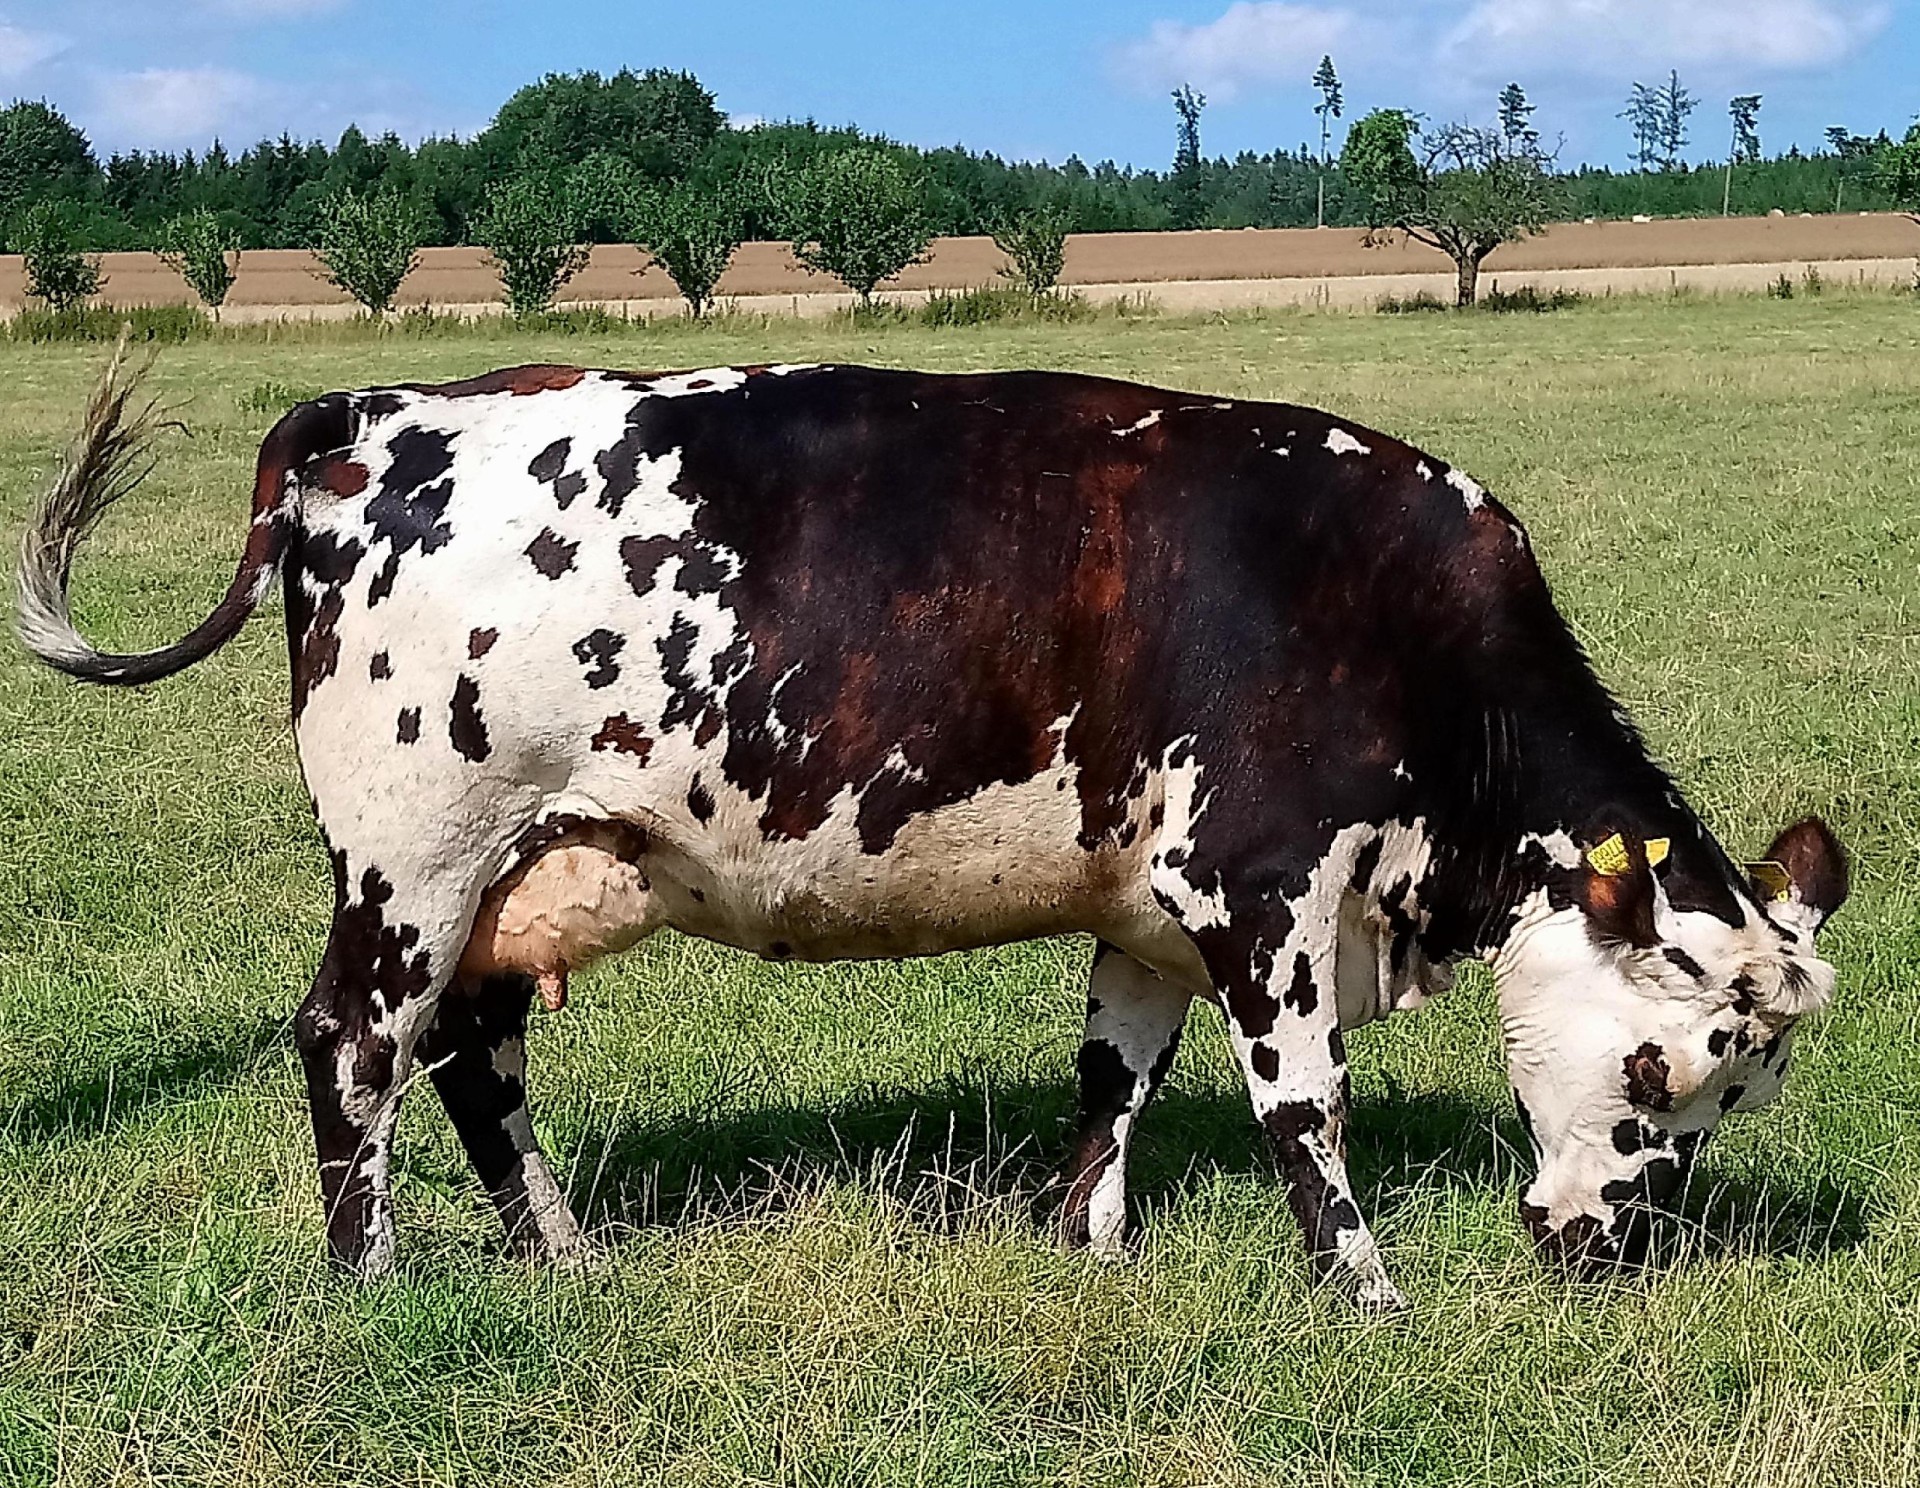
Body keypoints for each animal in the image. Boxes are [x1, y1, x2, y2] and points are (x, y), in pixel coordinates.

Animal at [18, 355, 1843, 1313]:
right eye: (1669, 1067)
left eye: (1744, 1094)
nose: (1613, 1249)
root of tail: (376, 412)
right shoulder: (1260, 886)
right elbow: (1302, 1108)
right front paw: (1364, 1290)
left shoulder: (1145, 903)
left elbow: (1115, 1076)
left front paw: (1086, 1244)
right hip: (415, 856)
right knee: (352, 1042)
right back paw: (370, 1275)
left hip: (512, 871)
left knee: (472, 1051)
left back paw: (562, 1250)